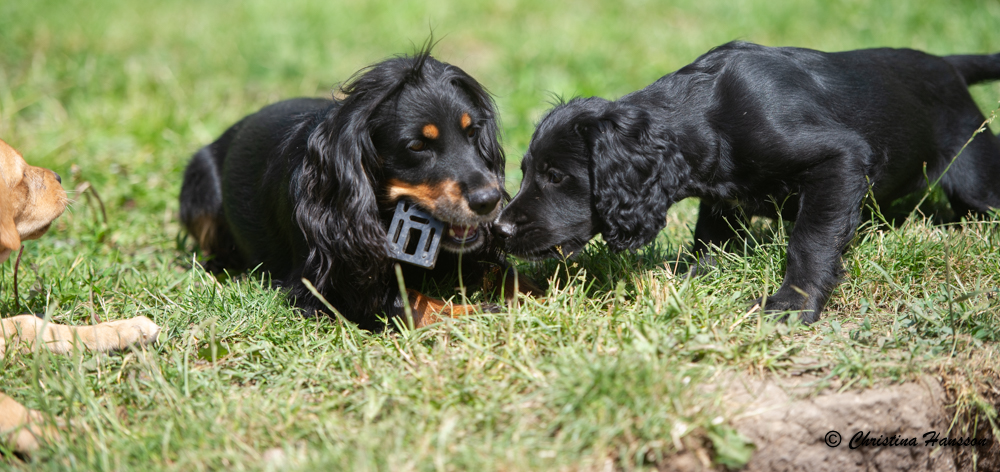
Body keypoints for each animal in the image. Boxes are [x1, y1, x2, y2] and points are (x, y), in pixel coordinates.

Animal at [179, 49, 536, 330]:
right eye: (417, 145)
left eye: (472, 131)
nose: (488, 200)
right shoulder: (322, 286)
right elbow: (407, 302)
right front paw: (478, 313)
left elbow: (504, 271)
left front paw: (536, 293)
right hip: (200, 182)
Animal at [495, 41, 1000, 324]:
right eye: (525, 172)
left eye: (556, 176)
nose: (499, 229)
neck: (708, 112)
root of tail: (947, 64)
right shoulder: (721, 192)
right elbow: (710, 237)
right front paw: (692, 275)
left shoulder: (840, 158)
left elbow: (811, 239)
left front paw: (793, 305)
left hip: (974, 171)